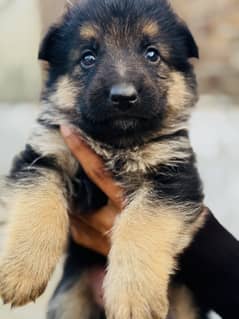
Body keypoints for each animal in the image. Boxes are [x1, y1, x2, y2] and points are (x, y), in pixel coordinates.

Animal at [0, 0, 205, 318]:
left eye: (152, 54)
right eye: (88, 57)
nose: (123, 97)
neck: (114, 143)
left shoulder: (173, 176)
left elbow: (142, 223)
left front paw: (133, 296)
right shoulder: (44, 156)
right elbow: (37, 204)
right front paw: (23, 270)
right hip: (69, 301)